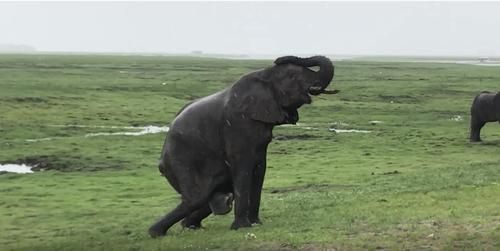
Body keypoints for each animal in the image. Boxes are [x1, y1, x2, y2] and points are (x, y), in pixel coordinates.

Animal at [148, 55, 336, 237]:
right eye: (293, 76)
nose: (278, 58)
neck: (264, 74)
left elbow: (259, 170)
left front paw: (256, 224)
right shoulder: (237, 125)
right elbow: (243, 168)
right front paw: (242, 227)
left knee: (212, 197)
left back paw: (191, 225)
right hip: (180, 159)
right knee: (197, 197)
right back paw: (156, 232)